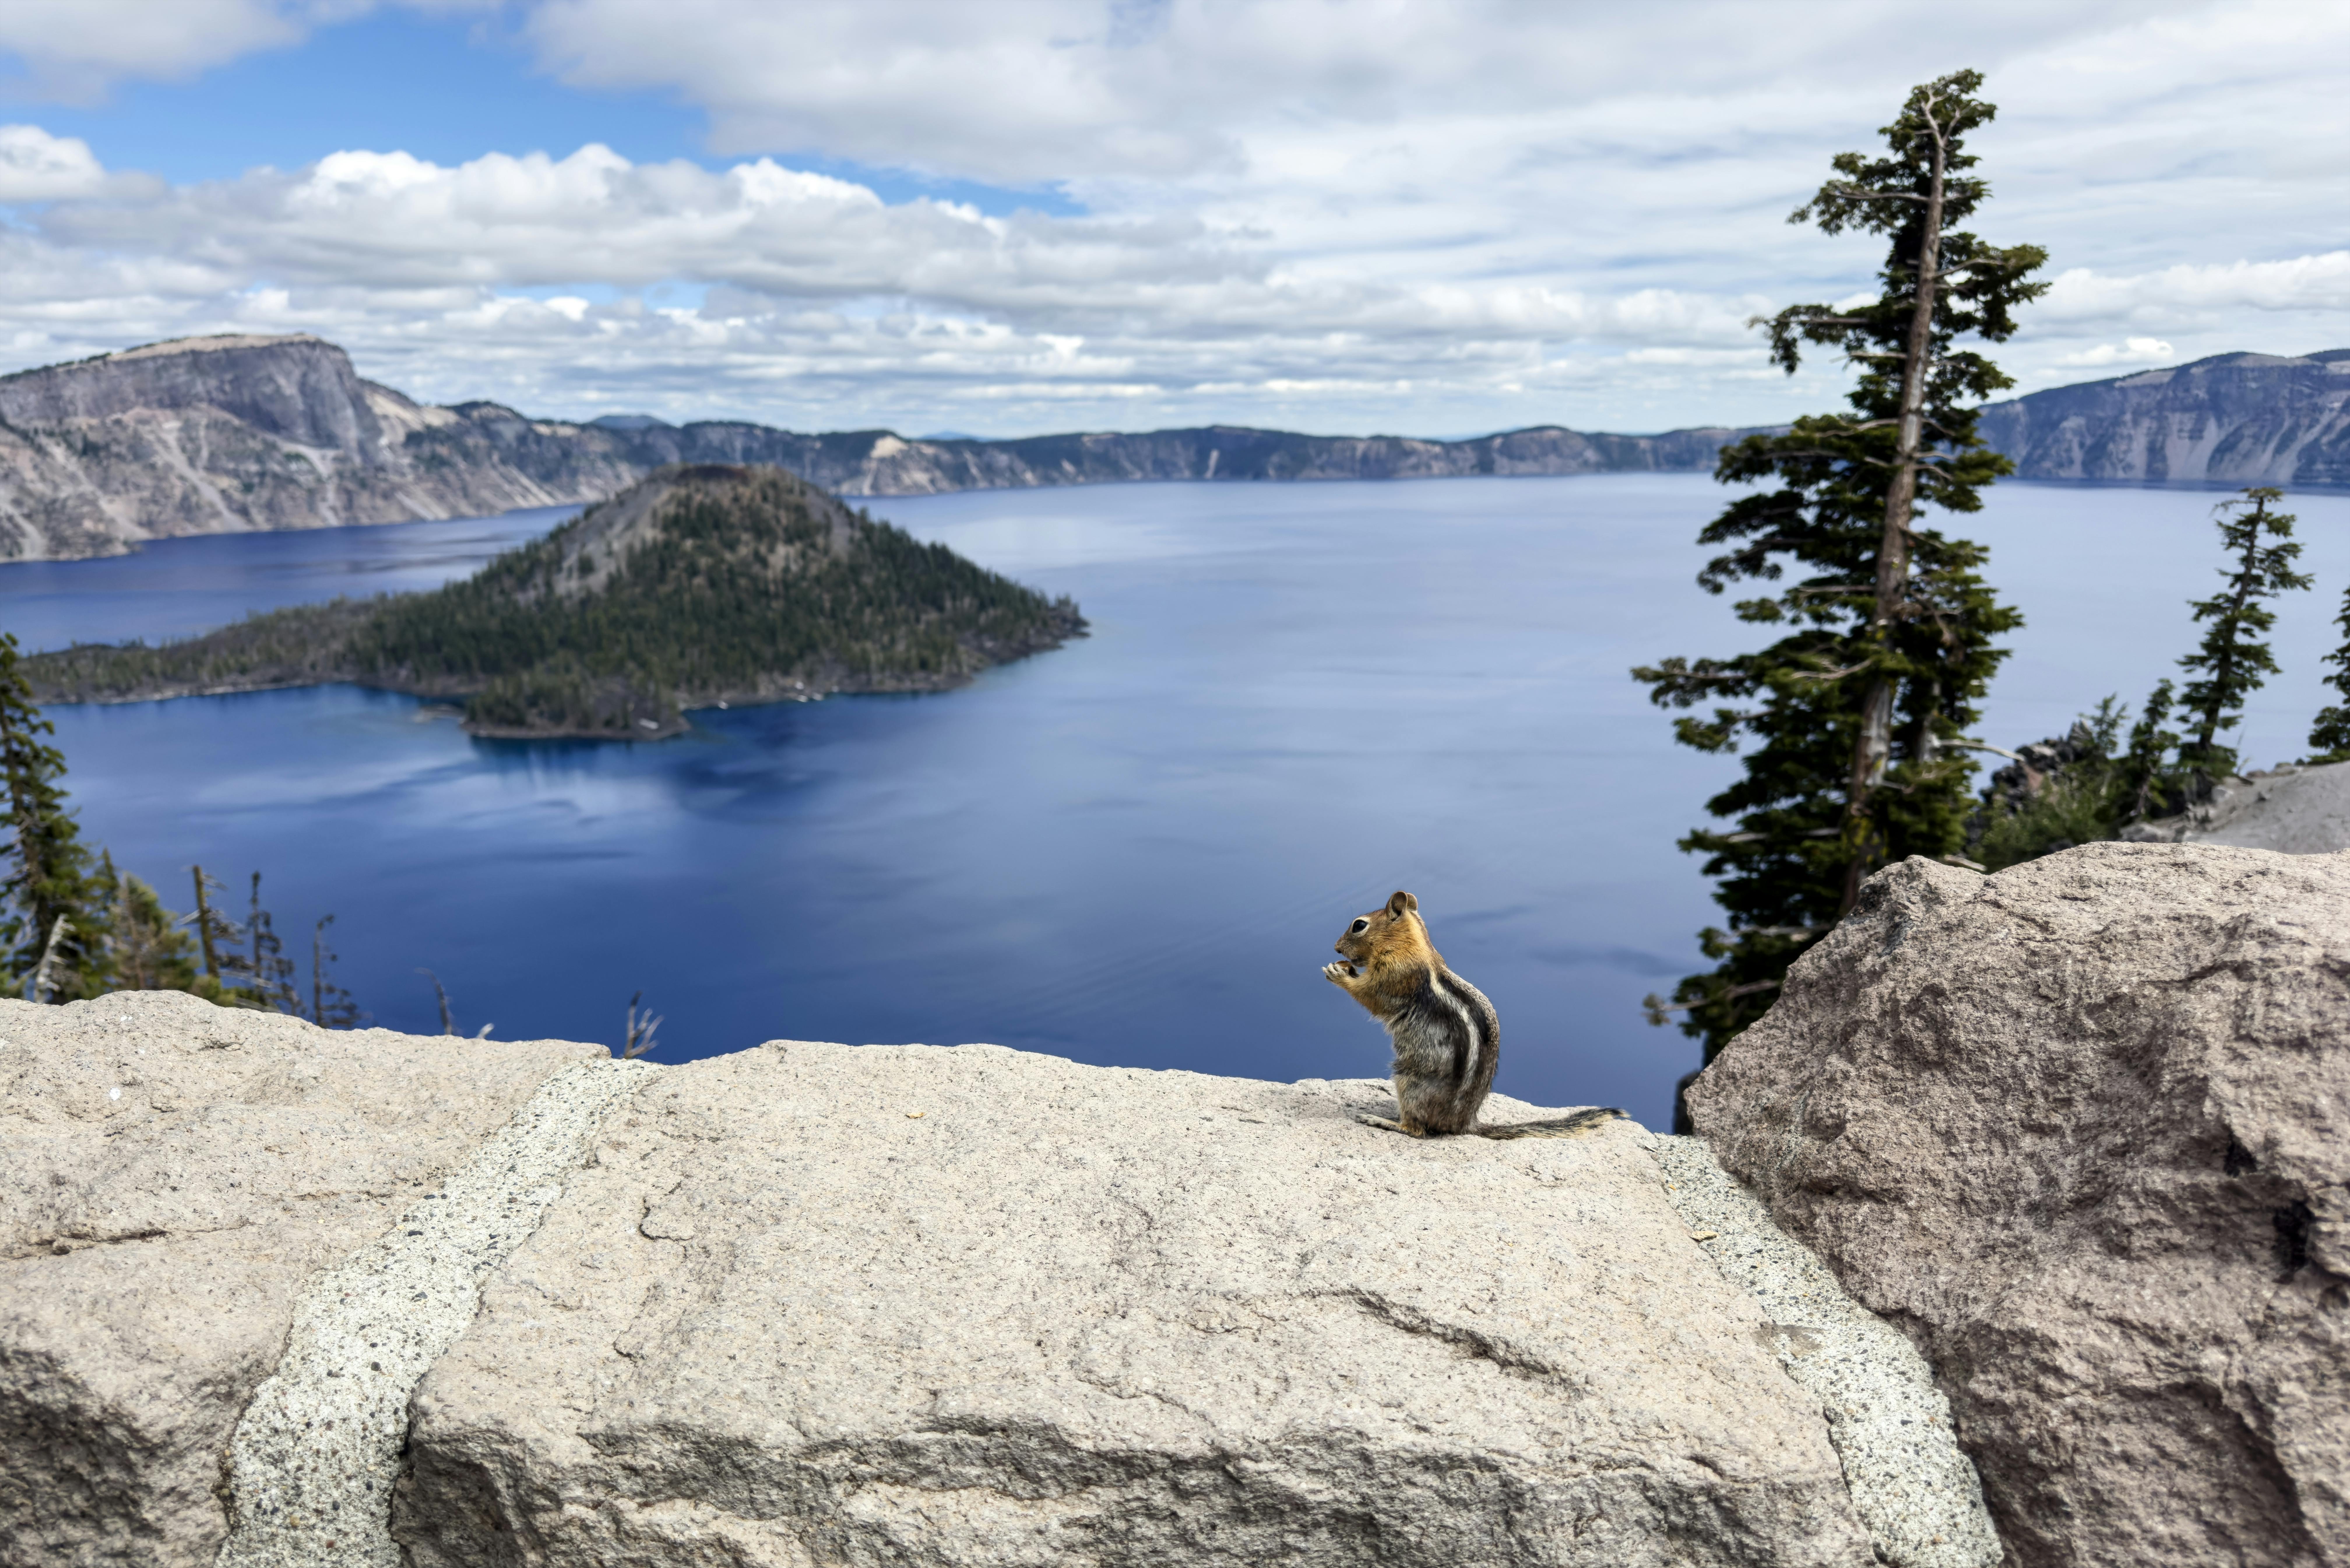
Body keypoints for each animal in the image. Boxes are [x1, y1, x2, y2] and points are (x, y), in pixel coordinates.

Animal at [1323, 890, 1622, 1140]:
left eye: (1359, 926)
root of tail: (1463, 1124)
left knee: (1417, 1130)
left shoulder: (1395, 976)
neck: (1410, 944)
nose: (1337, 948)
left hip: (1410, 1082)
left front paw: (1337, 974)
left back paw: (1382, 1120)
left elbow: (1370, 996)